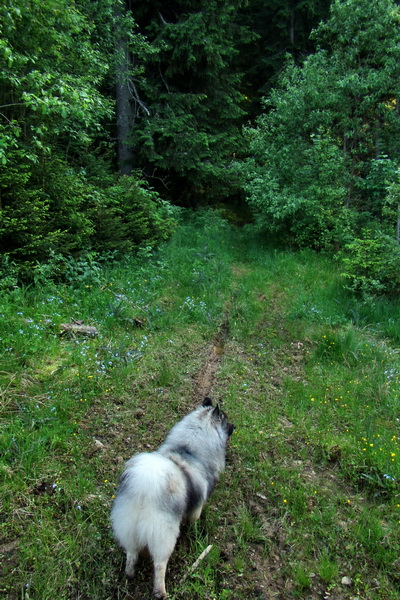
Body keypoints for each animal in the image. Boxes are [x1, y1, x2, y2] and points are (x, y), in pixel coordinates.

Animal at [110, 396, 234, 596]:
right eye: (225, 419)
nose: (235, 426)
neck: (189, 451)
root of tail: (144, 489)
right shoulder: (197, 507)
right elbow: (194, 519)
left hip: (128, 527)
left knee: (131, 553)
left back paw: (130, 573)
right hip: (163, 537)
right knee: (160, 564)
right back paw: (161, 592)